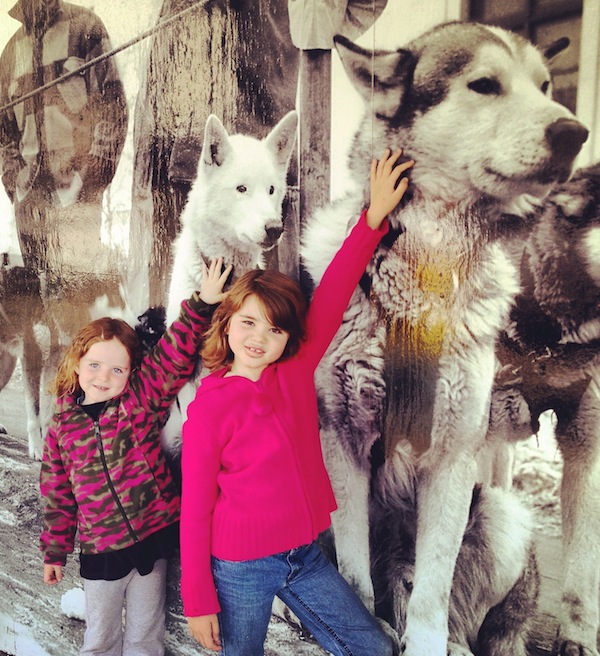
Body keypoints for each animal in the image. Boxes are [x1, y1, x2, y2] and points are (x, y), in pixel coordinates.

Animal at [300, 21, 588, 655]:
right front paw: (355, 620)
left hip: (502, 515)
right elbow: (352, 569)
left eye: (545, 86)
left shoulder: (453, 456)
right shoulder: (343, 441)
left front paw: (427, 642)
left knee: (459, 610)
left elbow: (434, 586)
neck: (424, 282)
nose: (576, 132)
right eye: (484, 85)